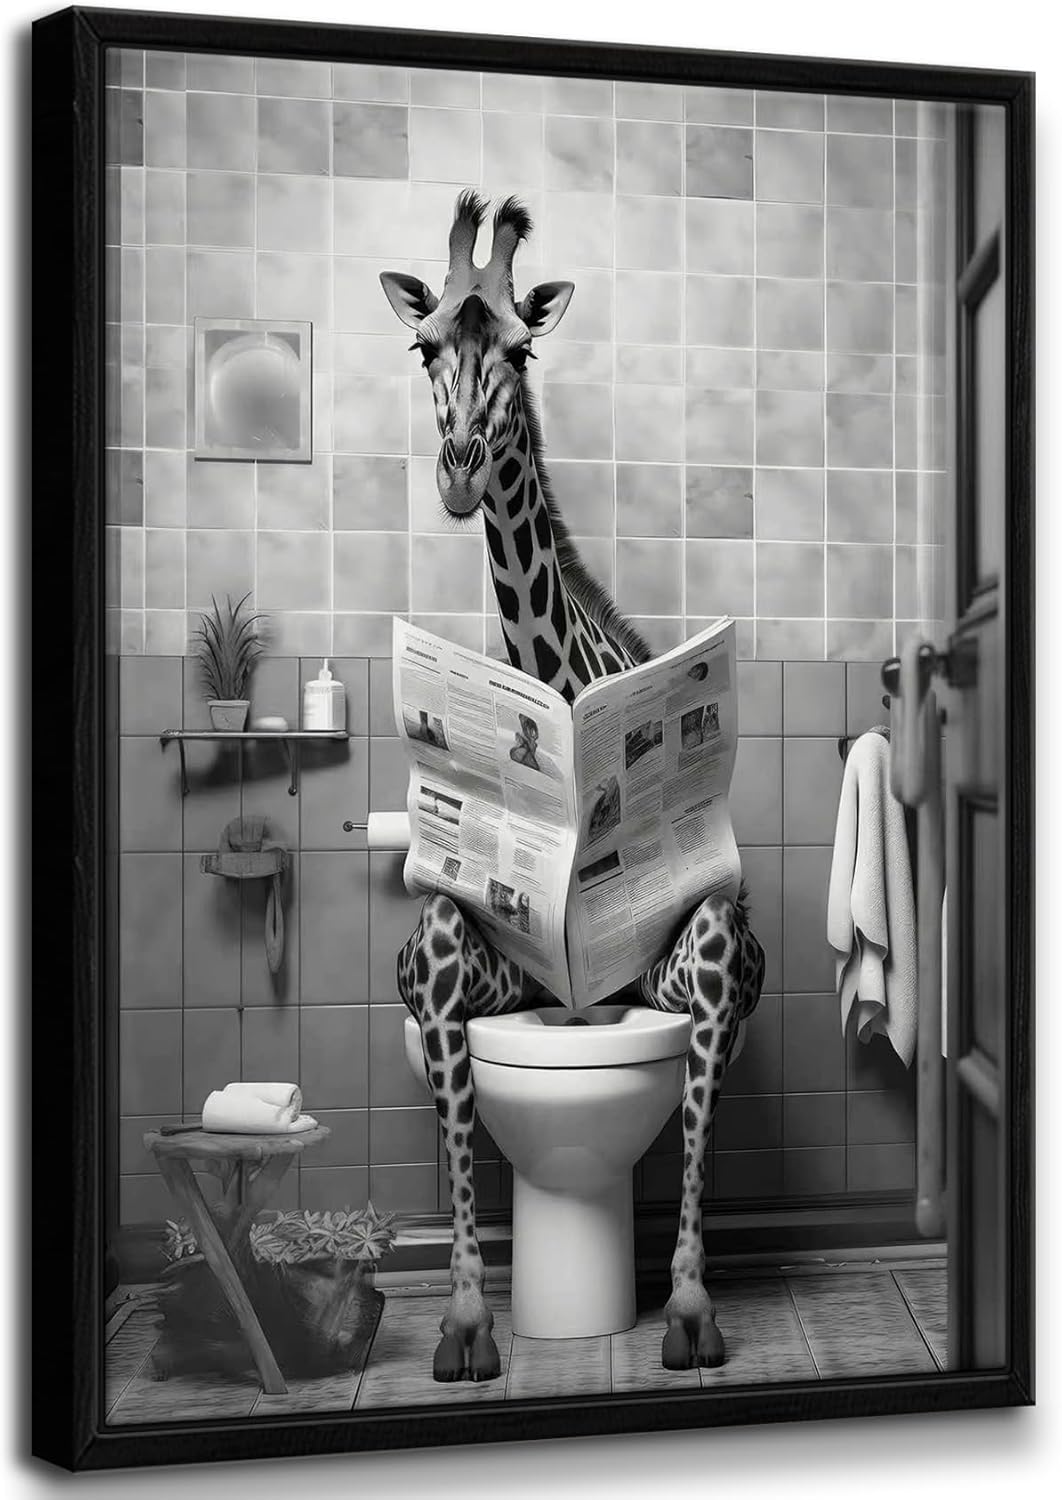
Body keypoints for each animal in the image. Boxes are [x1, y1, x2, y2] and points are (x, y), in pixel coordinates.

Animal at [381, 192, 766, 1381]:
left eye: (521, 348)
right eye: (423, 346)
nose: (460, 471)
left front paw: (689, 1313)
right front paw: (465, 1327)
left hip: (694, 976)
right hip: (485, 986)